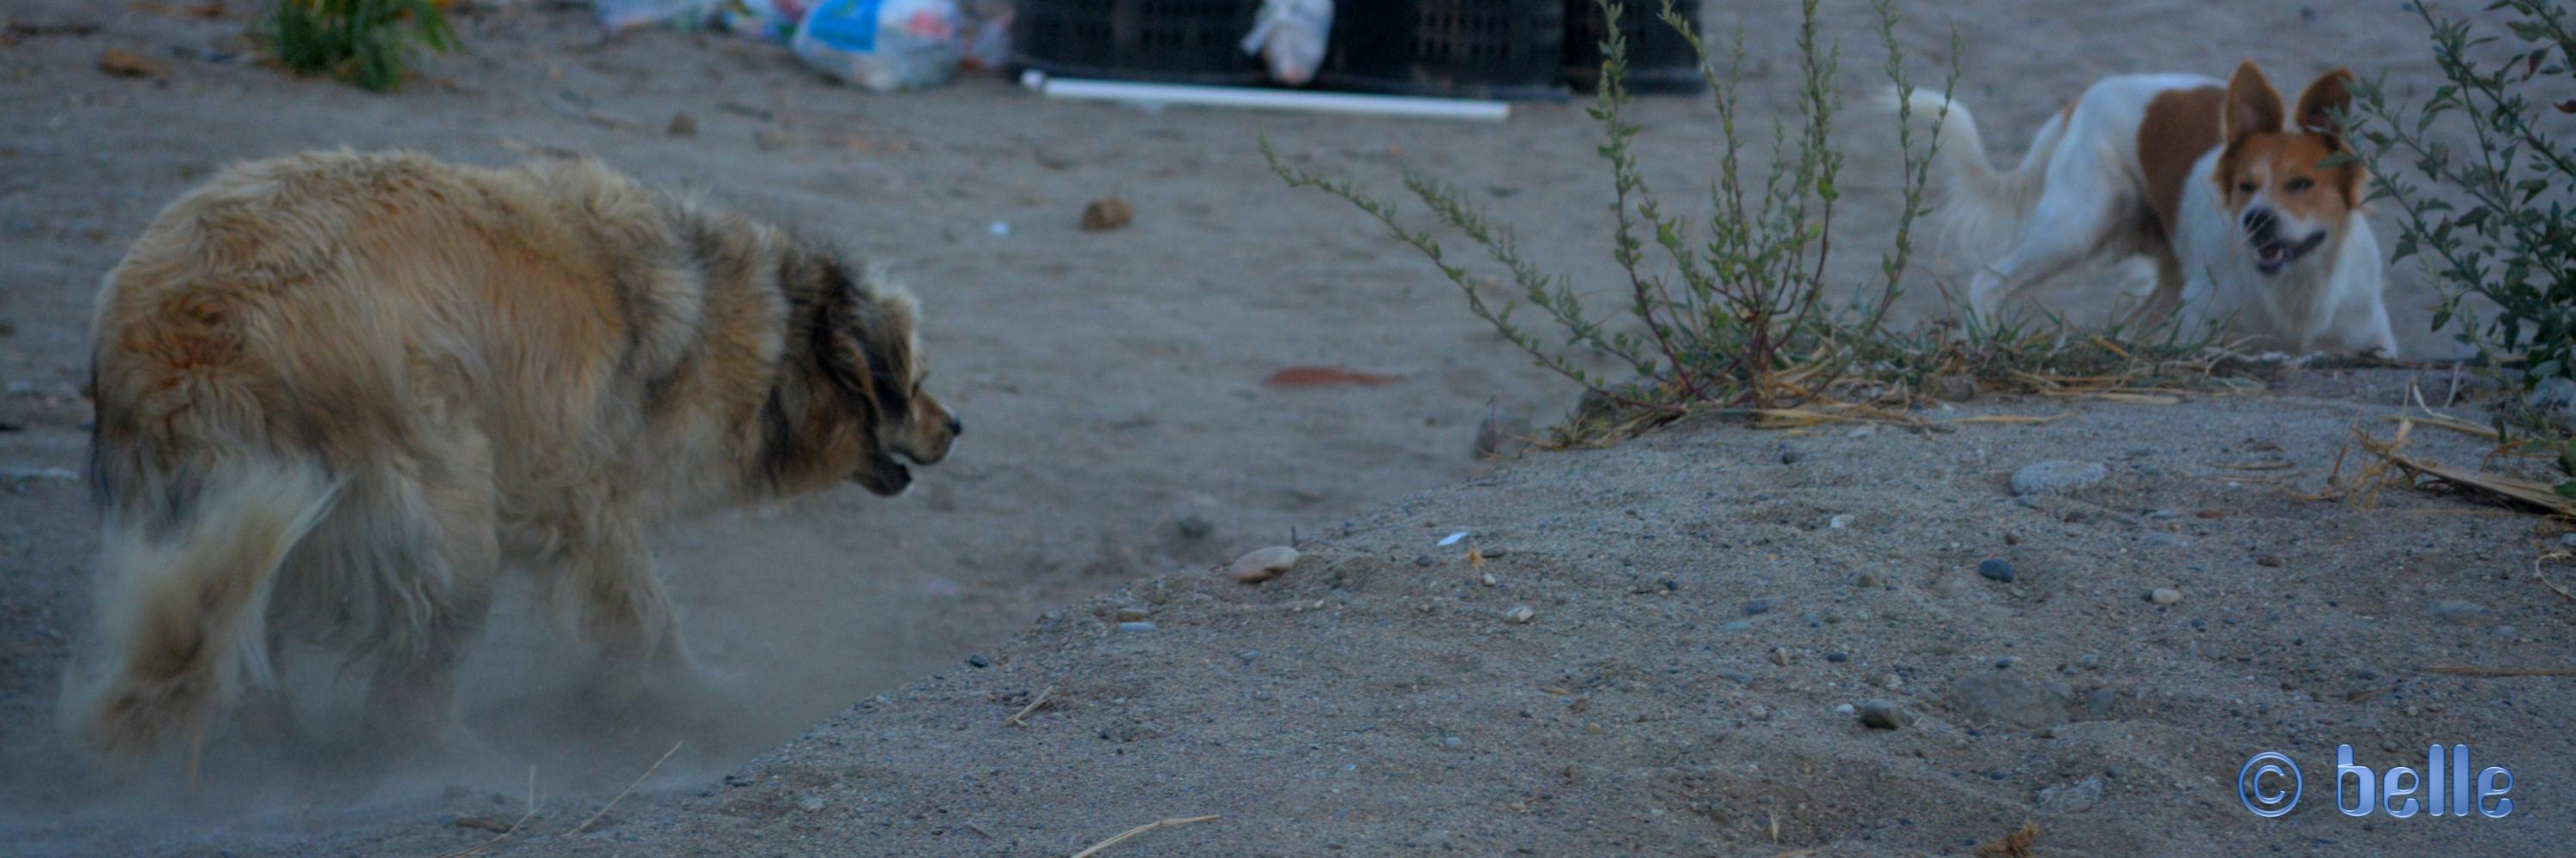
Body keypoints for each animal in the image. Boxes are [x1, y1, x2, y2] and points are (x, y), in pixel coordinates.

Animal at [63, 149, 968, 762]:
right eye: (916, 378)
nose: (956, 425)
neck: (760, 325)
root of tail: (191, 325)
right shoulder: (593, 500)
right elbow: (649, 617)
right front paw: (674, 697)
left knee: (249, 652)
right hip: (446, 515)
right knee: (409, 692)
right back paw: (462, 769)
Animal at [1916, 60, 2390, 353]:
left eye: (2301, 184)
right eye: (2245, 186)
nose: (2257, 220)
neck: (2295, 293)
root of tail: (2089, 94)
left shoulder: (2371, 342)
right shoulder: (2200, 328)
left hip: (2166, 276)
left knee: (2132, 326)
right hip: (2078, 226)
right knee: (1988, 279)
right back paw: (1983, 342)